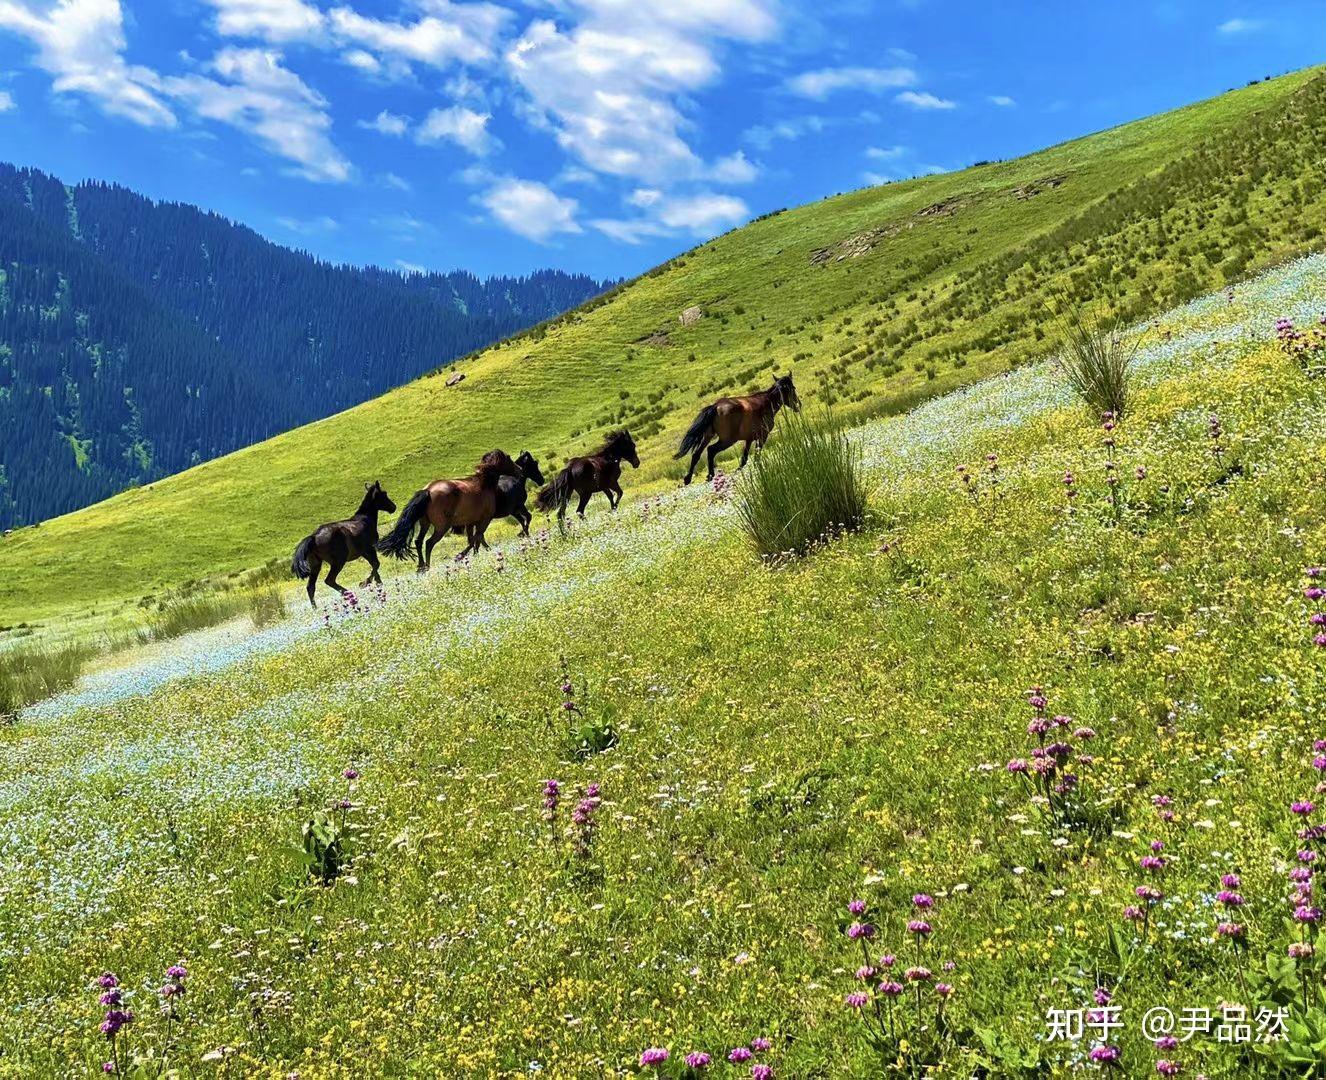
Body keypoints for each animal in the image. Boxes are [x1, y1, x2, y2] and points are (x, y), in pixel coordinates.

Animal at [290, 482, 392, 610]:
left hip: (316, 565)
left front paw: (378, 586)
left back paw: (316, 609)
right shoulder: (369, 549)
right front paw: (364, 583)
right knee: (329, 580)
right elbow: (376, 564)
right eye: (384, 494)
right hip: (338, 562)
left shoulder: (365, 552)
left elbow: (374, 565)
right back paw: (350, 595)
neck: (365, 520)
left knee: (310, 587)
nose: (393, 507)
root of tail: (313, 537)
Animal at [376, 448, 519, 570]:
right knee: (429, 543)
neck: (484, 485)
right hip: (442, 526)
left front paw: (475, 555)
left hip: (425, 523)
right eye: (508, 458)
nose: (519, 469)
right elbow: (476, 539)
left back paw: (421, 567)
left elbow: (474, 540)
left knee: (418, 541)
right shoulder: (485, 520)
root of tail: (428, 490)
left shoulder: (470, 522)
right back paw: (428, 567)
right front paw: (461, 556)